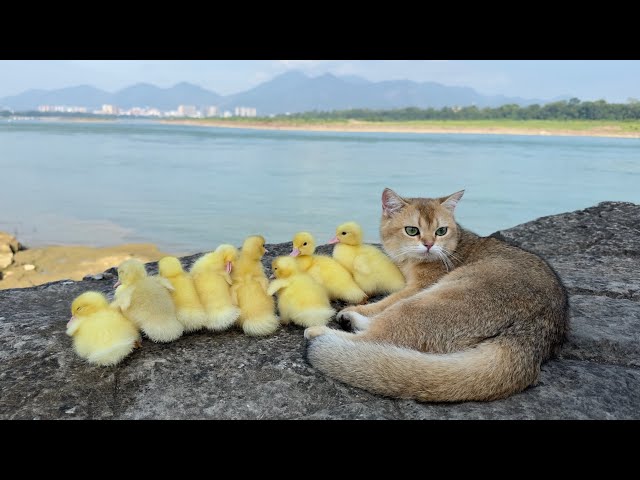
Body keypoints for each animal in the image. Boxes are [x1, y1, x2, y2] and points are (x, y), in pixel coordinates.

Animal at [304, 188, 568, 402]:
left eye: (441, 231)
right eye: (412, 230)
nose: (429, 244)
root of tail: (532, 335)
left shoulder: (416, 288)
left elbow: (386, 301)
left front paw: (358, 308)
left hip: (426, 303)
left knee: (375, 338)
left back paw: (325, 329)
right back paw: (350, 321)